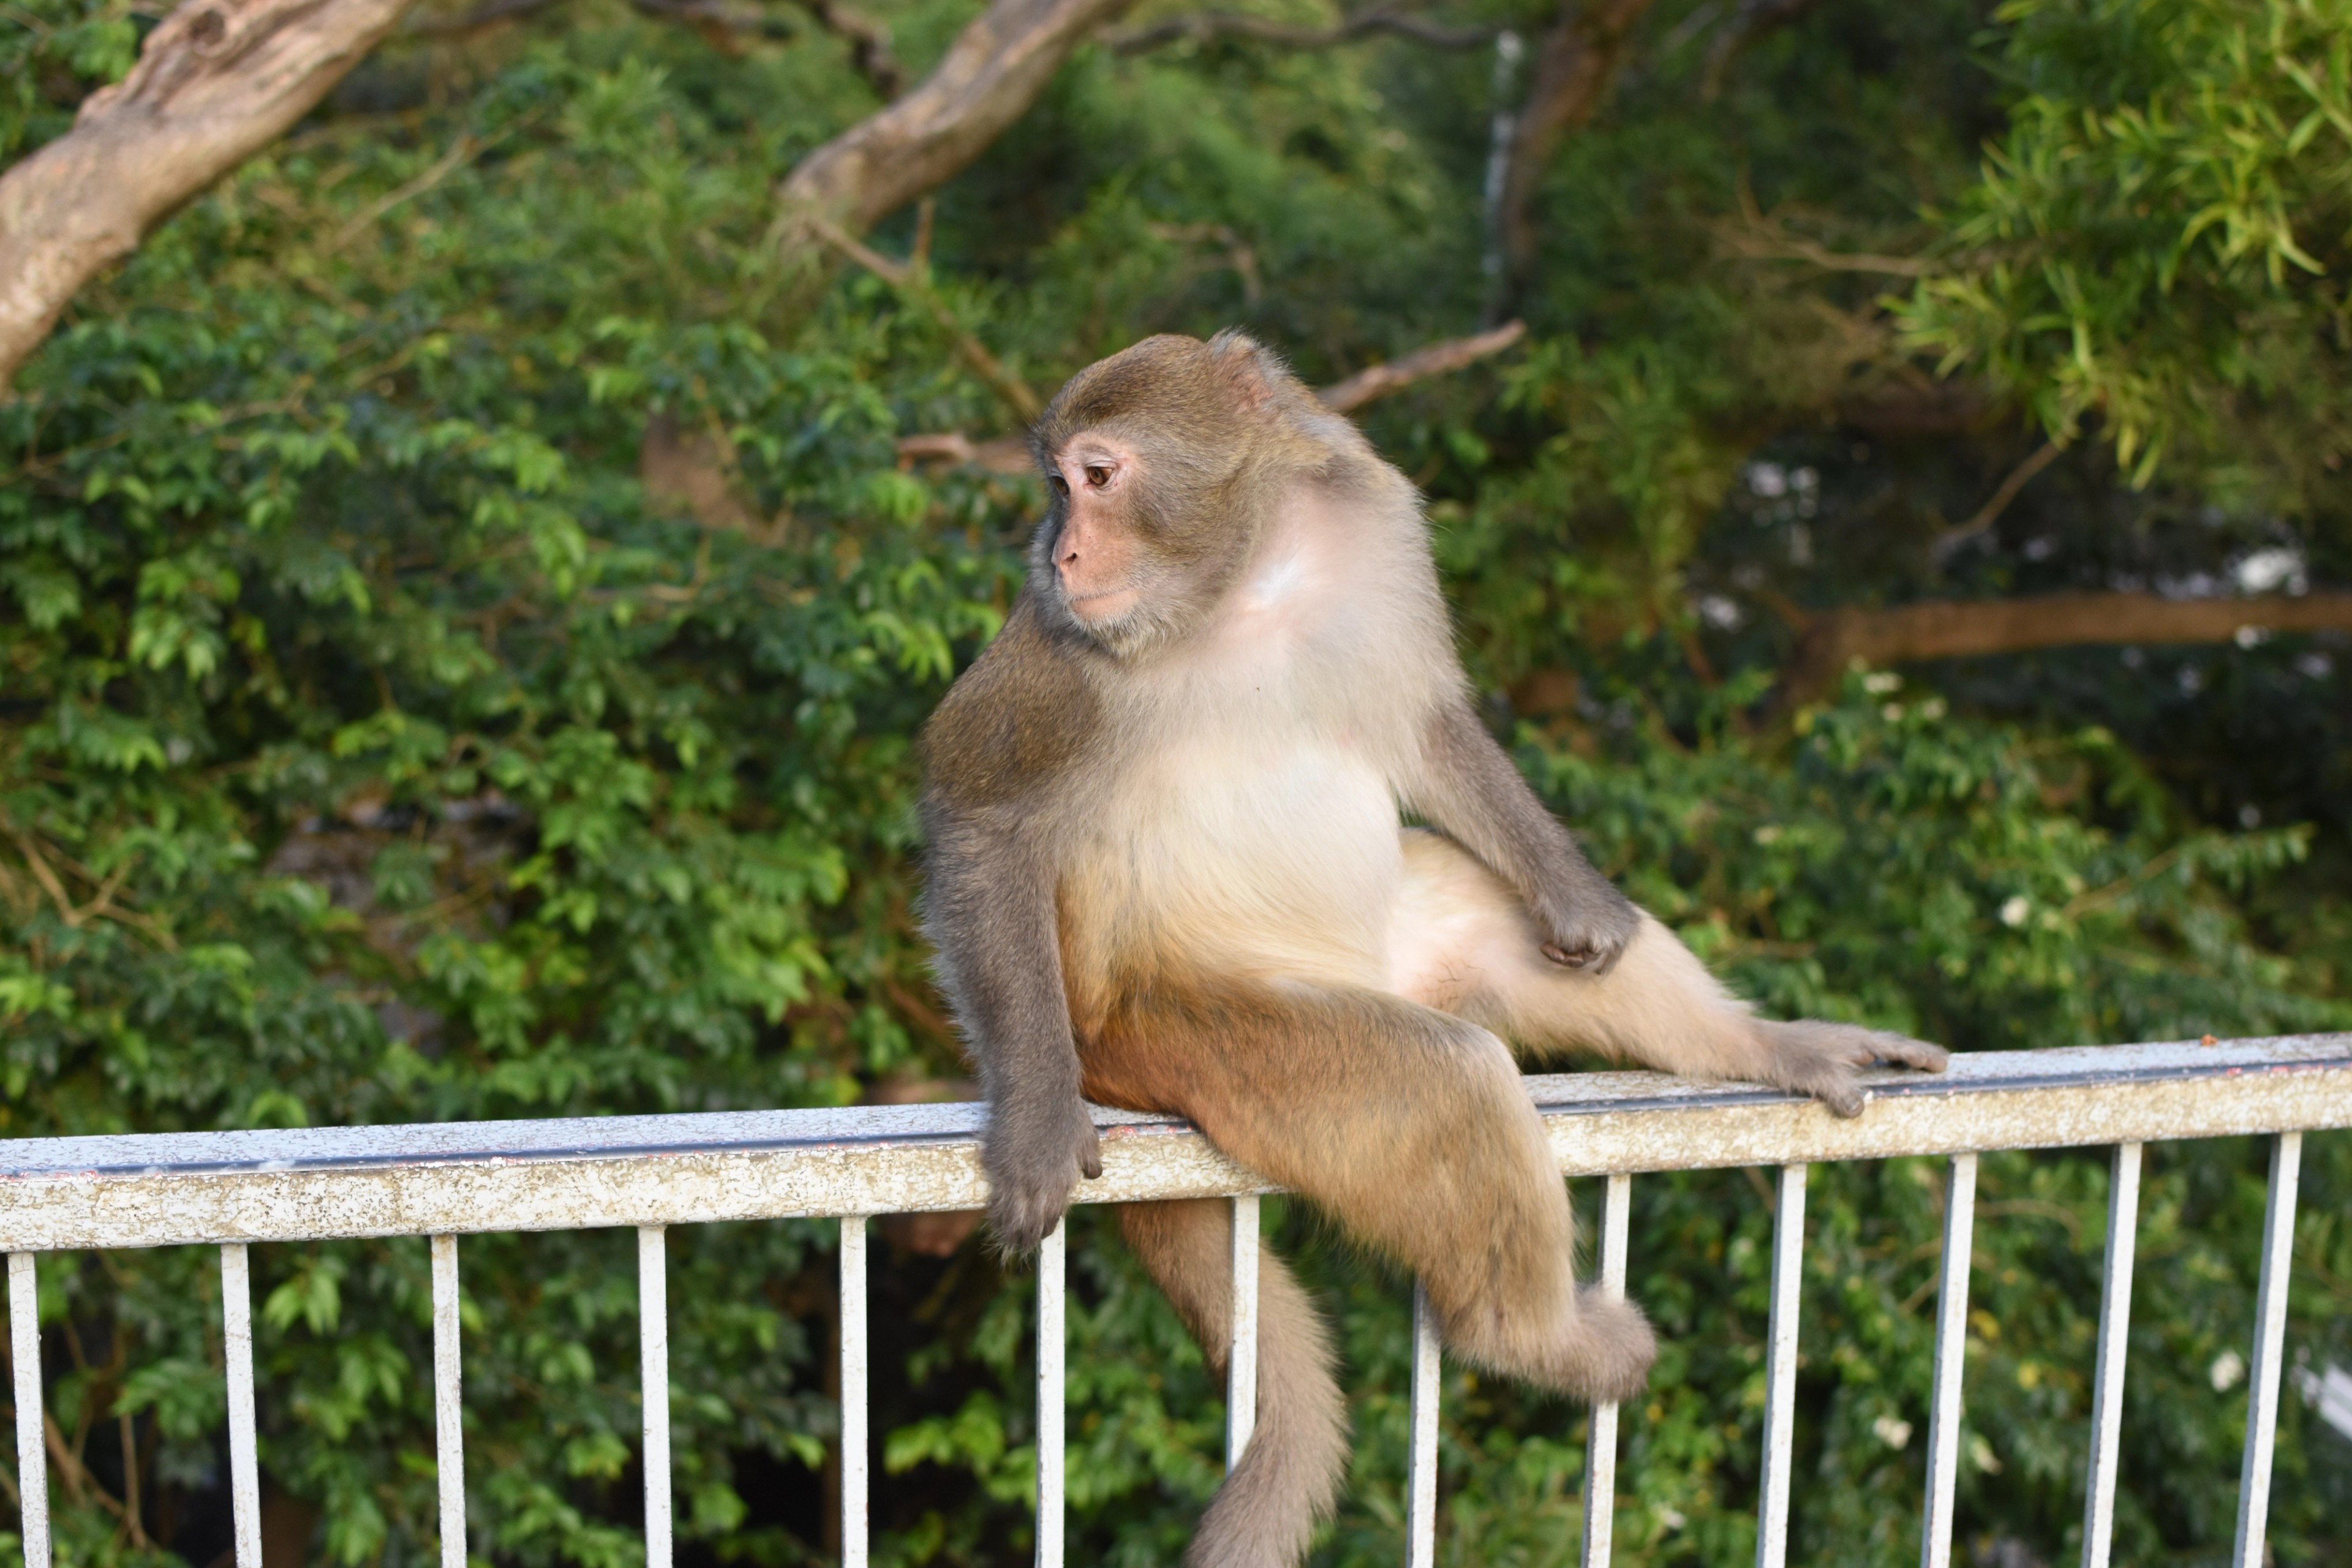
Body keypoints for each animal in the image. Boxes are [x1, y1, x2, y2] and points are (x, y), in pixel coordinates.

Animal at [917, 330, 1948, 1567]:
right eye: (1057, 486)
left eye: (1097, 477)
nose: (1060, 549)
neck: (1239, 585)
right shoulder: (1064, 652)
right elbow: (982, 816)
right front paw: (1029, 1122)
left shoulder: (1376, 533)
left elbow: (1426, 726)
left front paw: (1580, 901)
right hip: (1186, 1037)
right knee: (1444, 1077)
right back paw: (1530, 1339)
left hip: (1384, 957)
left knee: (1475, 913)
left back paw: (1770, 1047)